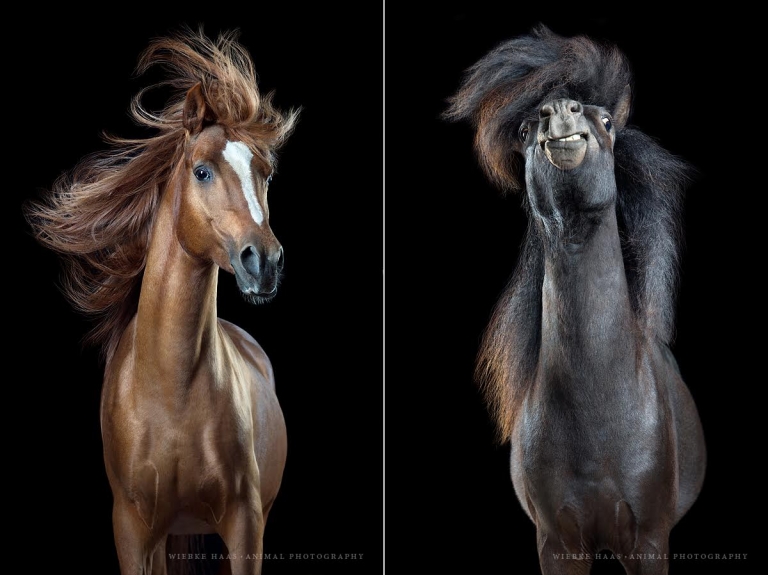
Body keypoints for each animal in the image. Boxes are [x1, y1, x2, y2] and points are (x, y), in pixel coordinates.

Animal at [24, 28, 298, 575]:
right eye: (201, 171)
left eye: (266, 174)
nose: (265, 262)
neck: (172, 393)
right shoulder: (132, 531)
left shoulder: (246, 525)